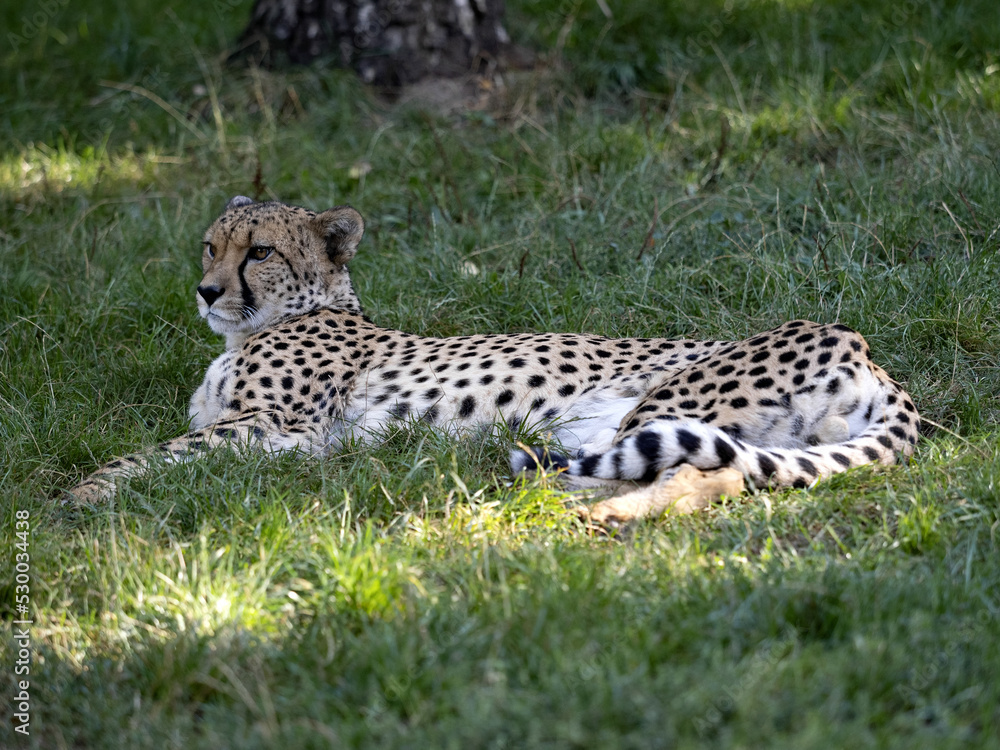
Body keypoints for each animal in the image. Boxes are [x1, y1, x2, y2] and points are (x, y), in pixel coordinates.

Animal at [66, 198, 916, 506]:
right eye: (210, 246)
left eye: (260, 252)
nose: (207, 290)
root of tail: (865, 348)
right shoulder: (279, 441)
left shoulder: (281, 427)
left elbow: (144, 453)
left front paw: (79, 496)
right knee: (723, 471)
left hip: (667, 402)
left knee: (688, 471)